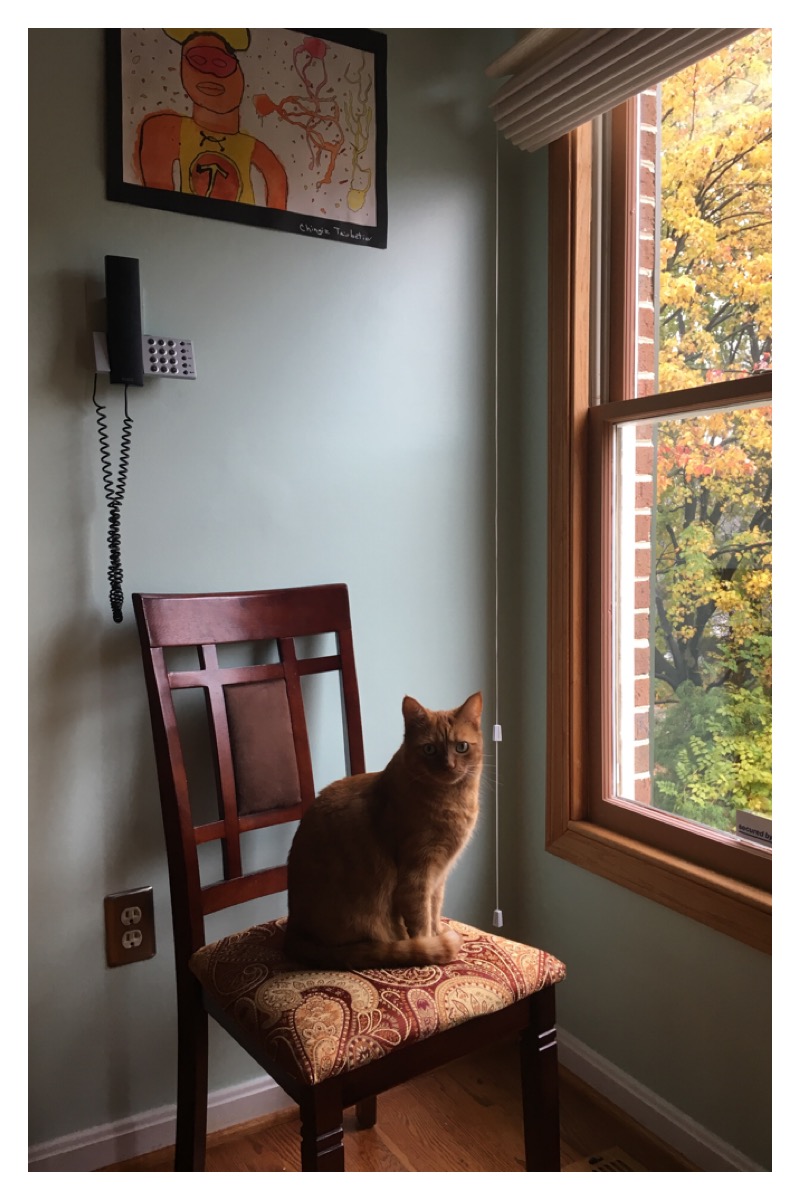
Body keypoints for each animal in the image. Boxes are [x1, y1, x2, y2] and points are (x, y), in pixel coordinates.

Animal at [284, 691, 483, 969]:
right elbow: (422, 923)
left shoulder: (438, 878)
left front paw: (438, 934)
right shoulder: (417, 877)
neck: (452, 801)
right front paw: (430, 948)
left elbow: (434, 912)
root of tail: (293, 930)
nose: (449, 766)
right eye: (429, 749)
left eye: (461, 747)